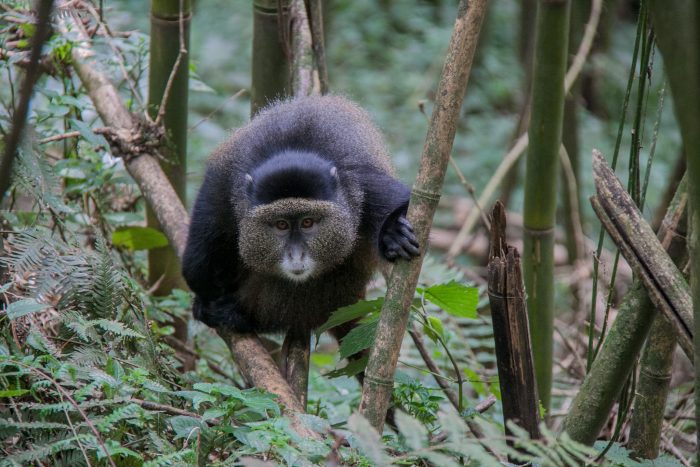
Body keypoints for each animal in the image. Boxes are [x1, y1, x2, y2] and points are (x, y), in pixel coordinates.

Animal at [182, 95, 420, 335]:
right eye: (281, 225)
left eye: (307, 222)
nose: (296, 255)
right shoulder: (224, 184)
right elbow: (197, 260)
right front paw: (205, 301)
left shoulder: (364, 184)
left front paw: (393, 233)